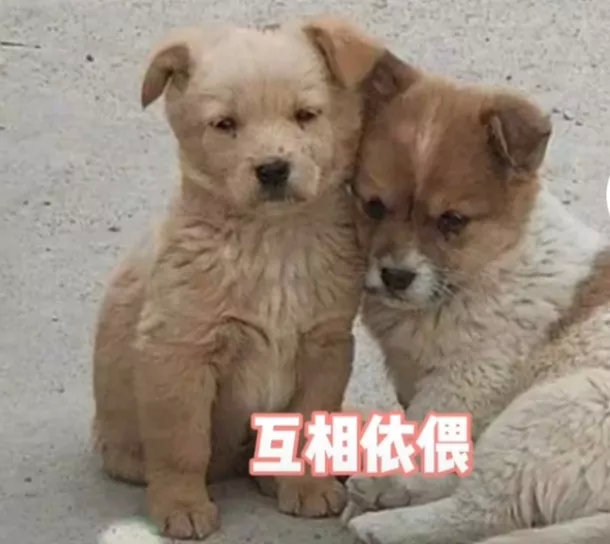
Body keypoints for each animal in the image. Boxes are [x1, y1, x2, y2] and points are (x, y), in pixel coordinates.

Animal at [92, 18, 387, 540]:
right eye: (225, 124)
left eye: (306, 115)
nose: (272, 169)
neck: (272, 243)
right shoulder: (178, 352)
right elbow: (182, 444)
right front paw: (182, 505)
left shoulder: (325, 346)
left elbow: (309, 424)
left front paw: (305, 486)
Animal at [341, 53, 610, 543]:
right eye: (374, 207)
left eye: (452, 220)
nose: (395, 277)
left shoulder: (468, 378)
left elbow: (424, 433)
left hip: (552, 411)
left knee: (483, 508)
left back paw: (381, 518)